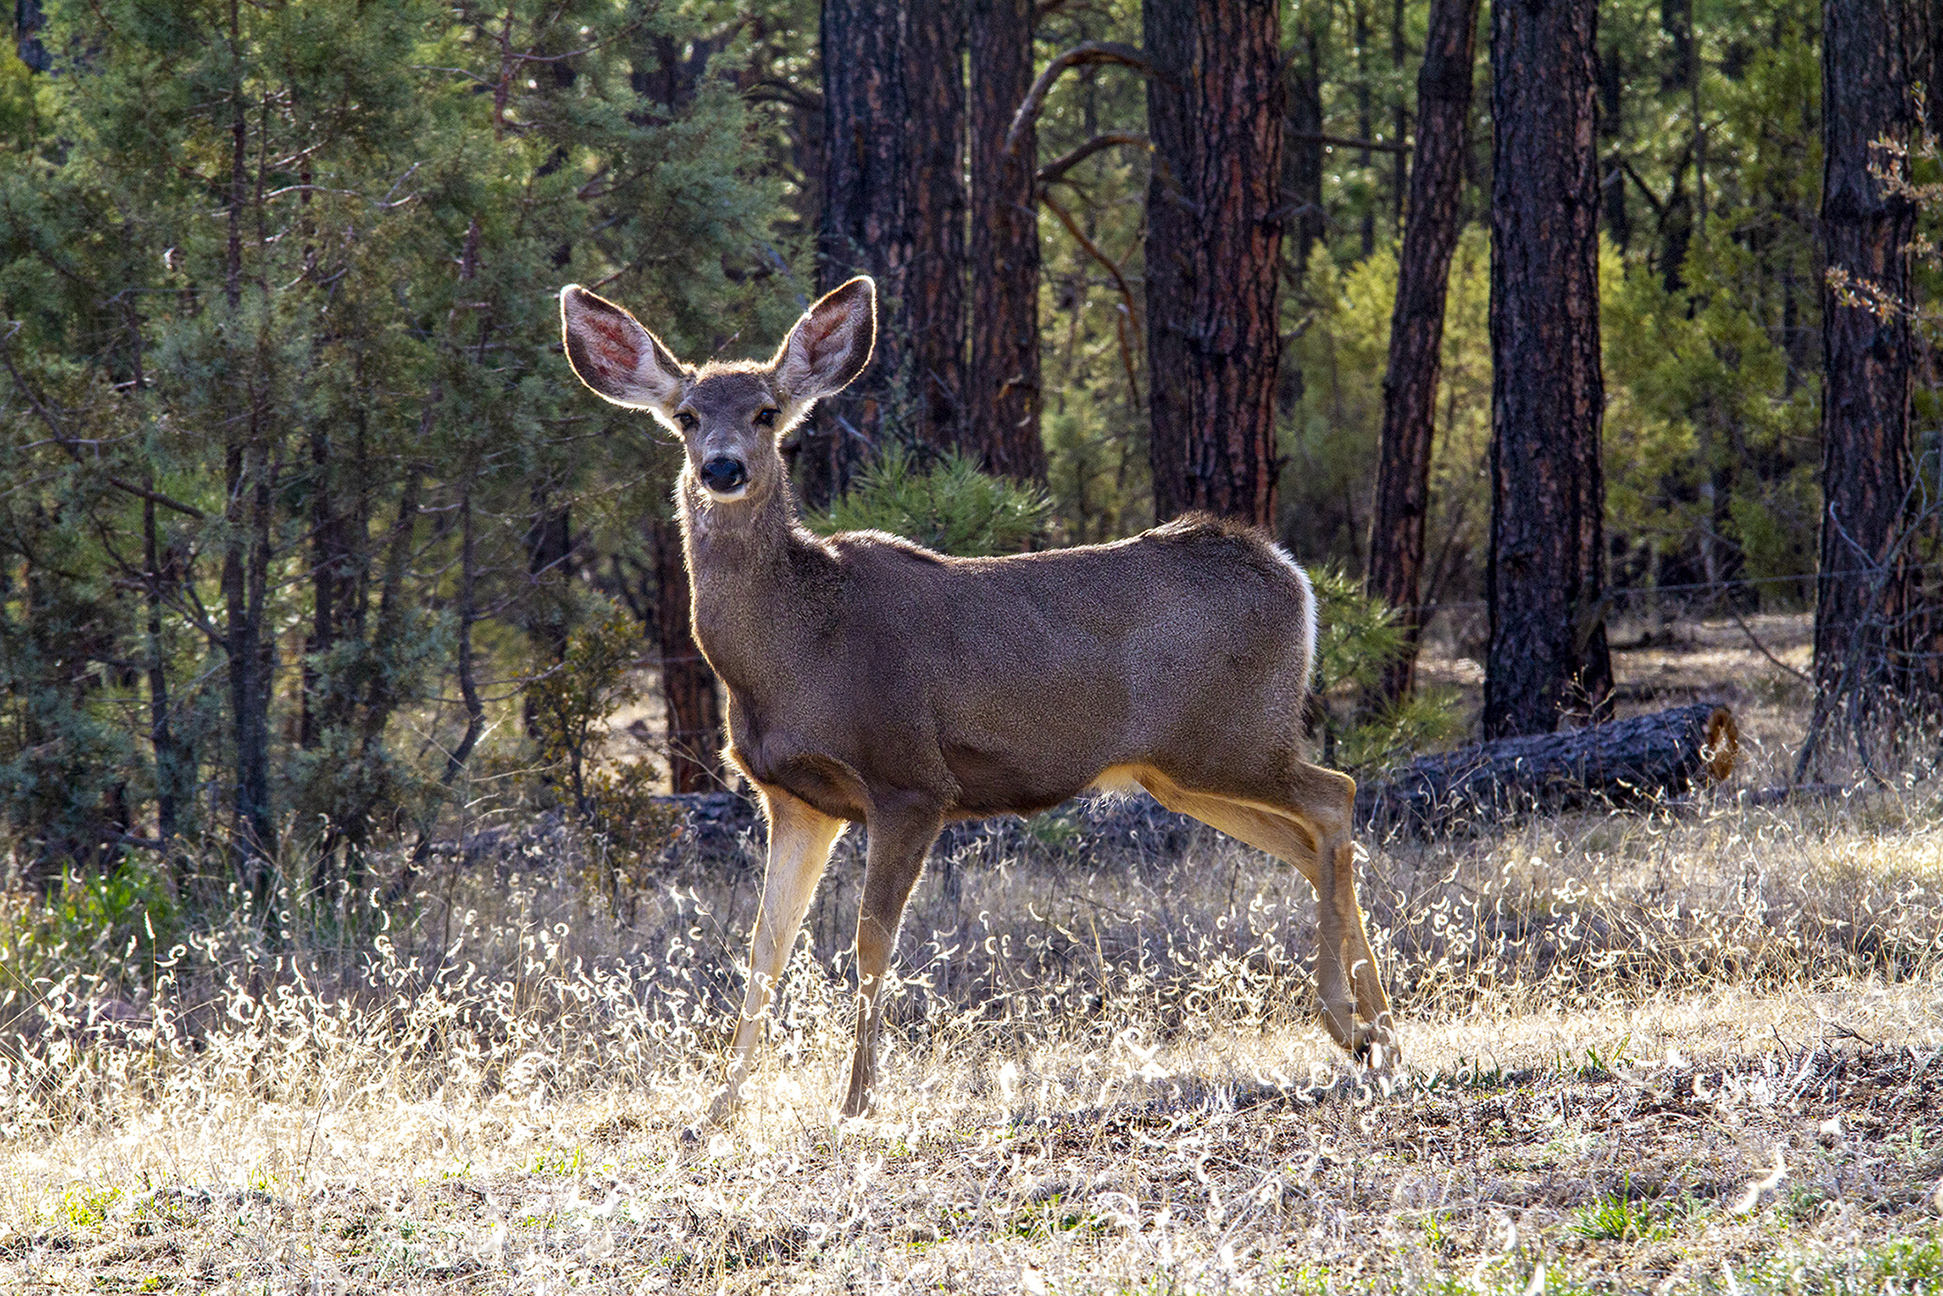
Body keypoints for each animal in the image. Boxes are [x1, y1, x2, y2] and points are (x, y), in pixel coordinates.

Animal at [563, 275, 1398, 1126]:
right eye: (687, 416)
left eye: (767, 412)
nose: (723, 469)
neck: (797, 651)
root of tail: (1290, 574)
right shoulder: (795, 799)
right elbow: (766, 948)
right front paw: (717, 1111)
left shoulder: (909, 780)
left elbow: (870, 941)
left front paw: (855, 1100)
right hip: (1181, 770)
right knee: (1308, 840)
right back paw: (1380, 1037)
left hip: (1235, 738)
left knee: (1334, 796)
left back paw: (1350, 1021)